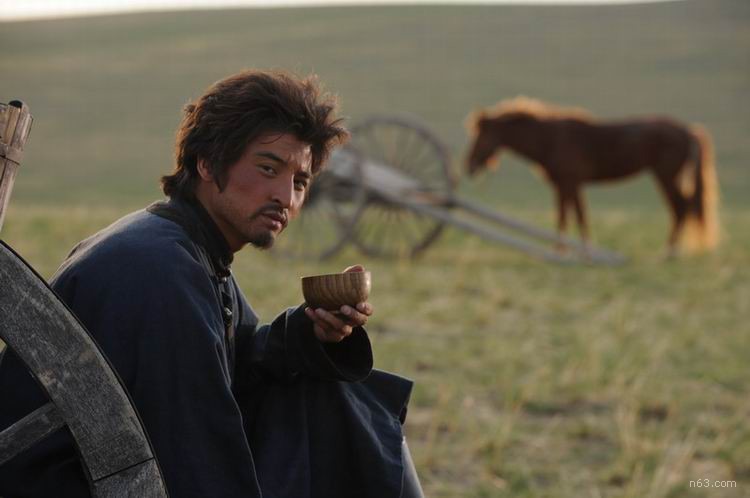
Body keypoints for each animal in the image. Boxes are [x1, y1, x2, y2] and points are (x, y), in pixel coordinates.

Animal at [465, 97, 719, 255]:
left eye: (481, 137)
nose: (469, 166)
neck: (549, 140)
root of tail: (688, 130)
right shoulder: (566, 185)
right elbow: (571, 216)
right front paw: (572, 250)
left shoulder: (570, 182)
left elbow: (571, 216)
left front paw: (570, 251)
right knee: (681, 208)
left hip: (665, 175)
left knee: (681, 208)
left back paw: (669, 253)